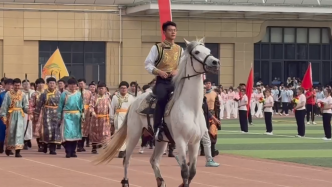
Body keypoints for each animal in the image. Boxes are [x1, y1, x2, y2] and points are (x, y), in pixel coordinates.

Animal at [92, 38, 220, 187]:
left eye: (209, 50)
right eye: (197, 52)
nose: (215, 62)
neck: (190, 108)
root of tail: (134, 101)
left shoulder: (194, 142)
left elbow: (192, 172)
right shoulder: (181, 141)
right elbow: (184, 171)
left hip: (161, 141)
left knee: (153, 160)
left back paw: (161, 181)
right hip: (134, 134)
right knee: (127, 160)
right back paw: (125, 182)